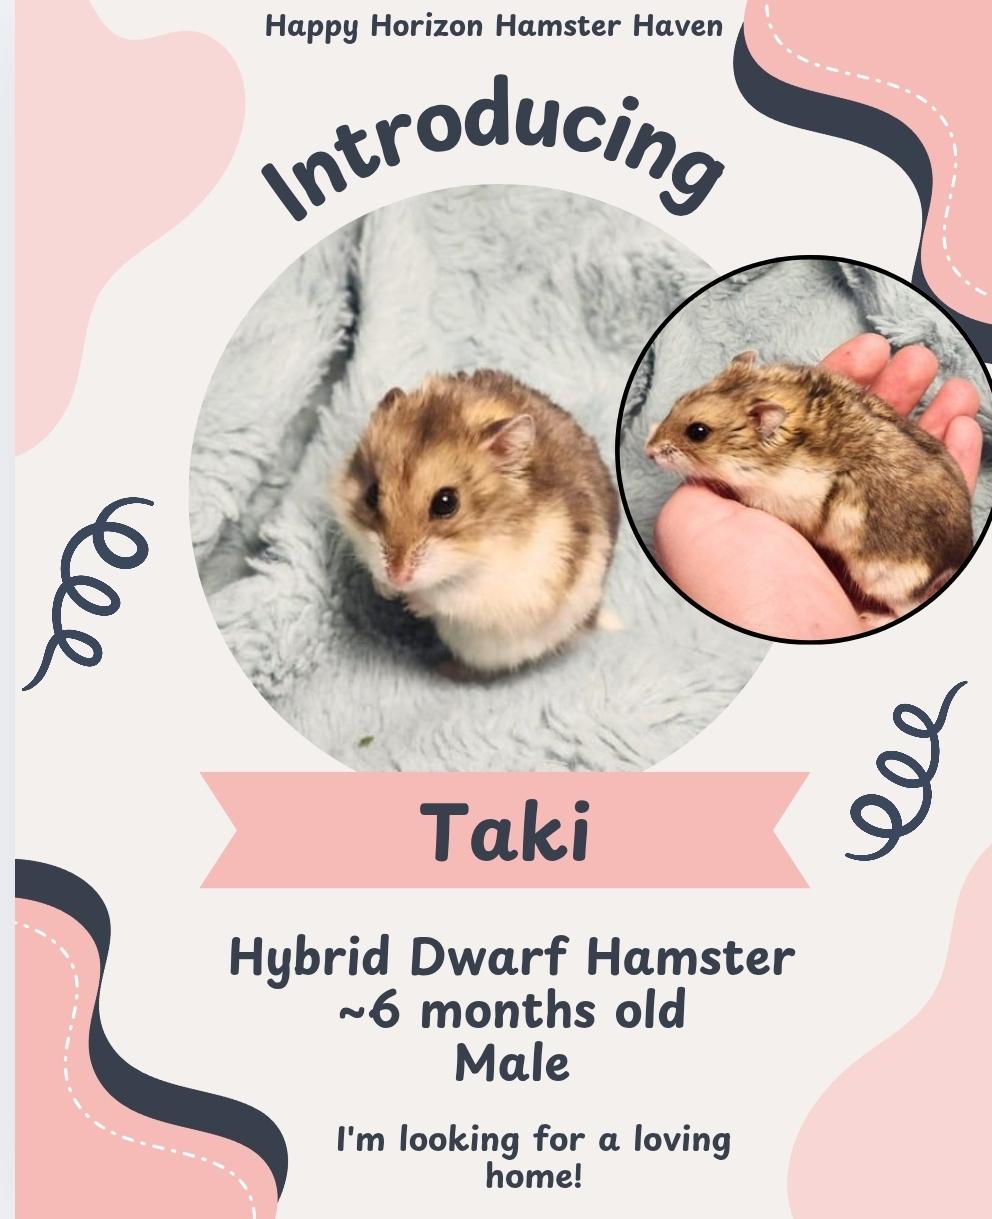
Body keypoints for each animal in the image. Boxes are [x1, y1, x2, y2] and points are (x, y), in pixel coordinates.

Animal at [334, 369, 620, 674]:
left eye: (446, 503)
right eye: (372, 494)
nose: (397, 578)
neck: (477, 551)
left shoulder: (508, 587)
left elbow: (448, 598)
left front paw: (411, 604)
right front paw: (385, 590)